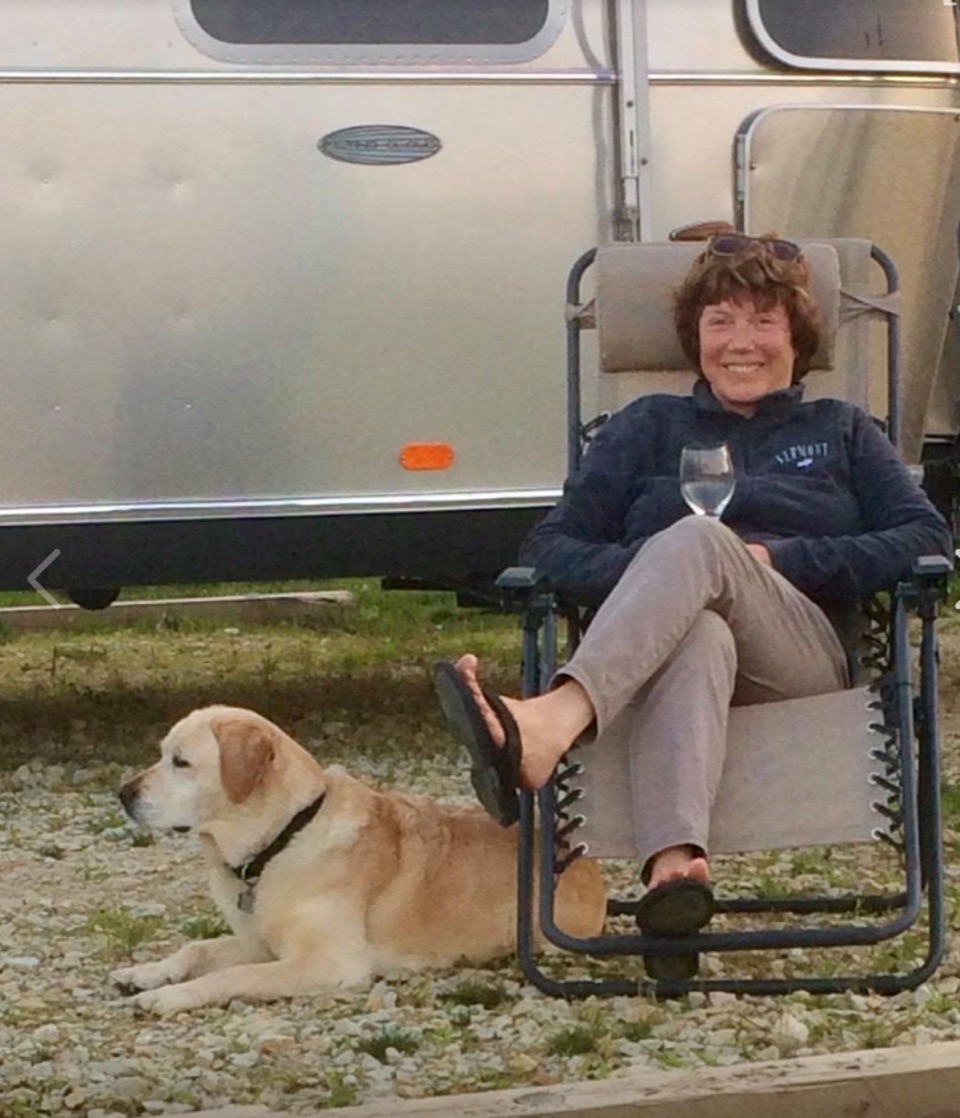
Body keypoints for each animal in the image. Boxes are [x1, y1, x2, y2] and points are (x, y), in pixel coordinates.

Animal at [114, 706, 607, 1015]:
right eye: (162, 754)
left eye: (181, 762)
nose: (122, 794)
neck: (284, 837)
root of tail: (581, 859)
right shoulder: (260, 943)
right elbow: (196, 948)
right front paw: (147, 973)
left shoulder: (327, 964)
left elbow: (232, 977)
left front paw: (170, 997)